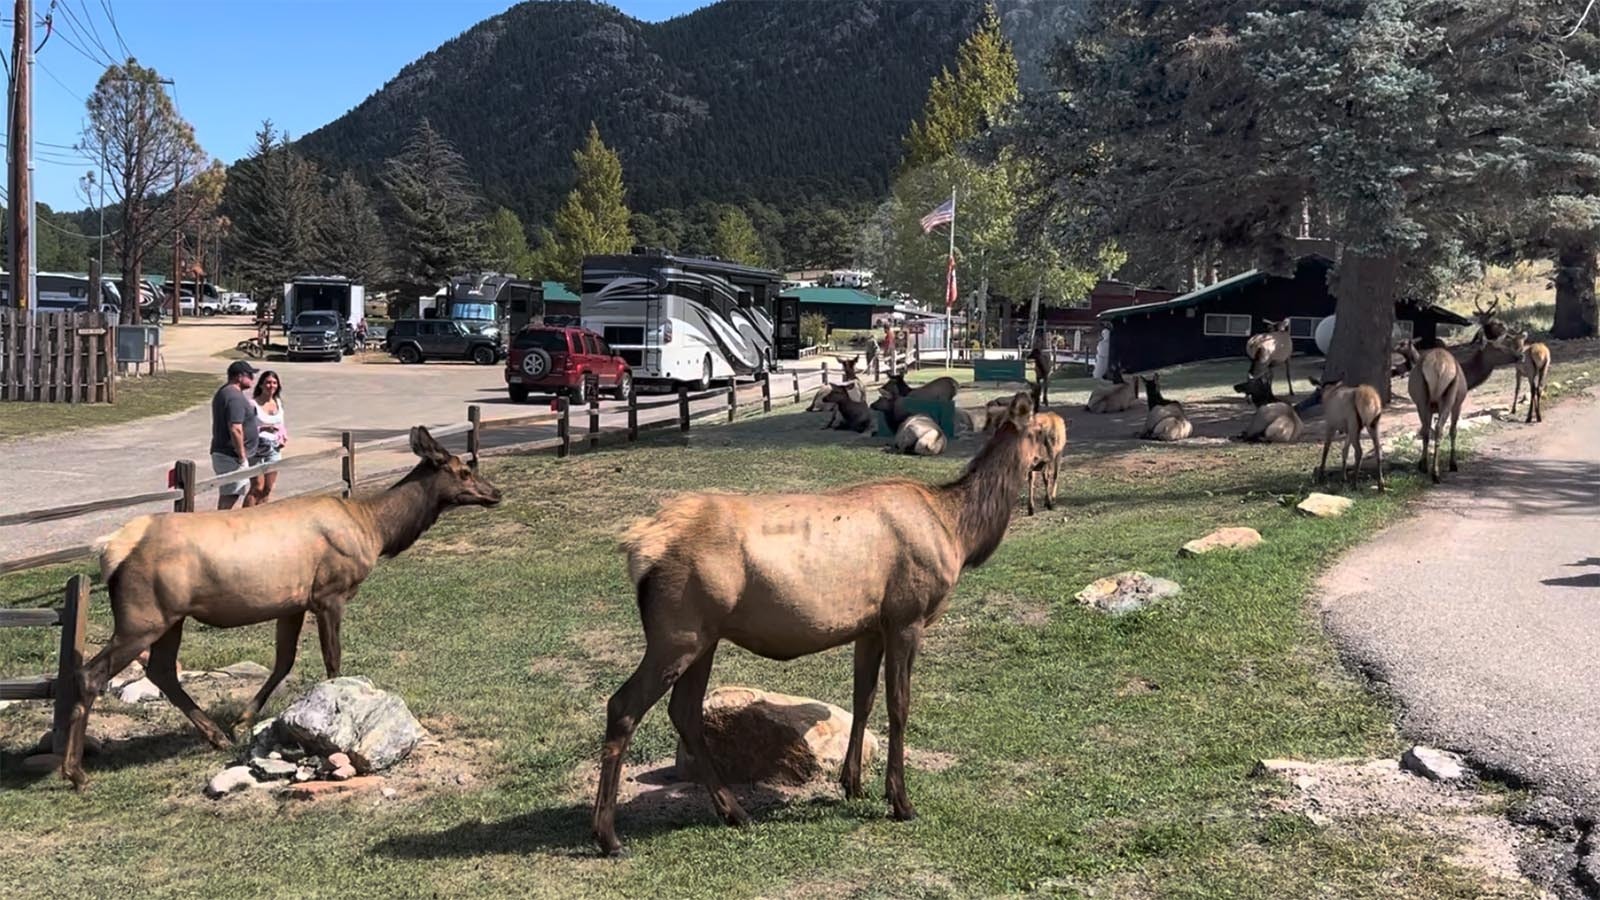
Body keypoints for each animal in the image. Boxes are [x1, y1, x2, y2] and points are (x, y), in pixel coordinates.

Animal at [59, 422, 499, 781]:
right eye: (463, 471)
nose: (495, 492)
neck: (375, 531)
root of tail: (110, 550)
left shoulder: (293, 603)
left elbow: (283, 661)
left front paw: (242, 720)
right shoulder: (329, 593)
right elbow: (332, 660)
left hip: (170, 617)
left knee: (162, 671)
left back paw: (215, 735)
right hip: (143, 615)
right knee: (93, 674)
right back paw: (74, 772)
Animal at [592, 395, 1049, 851]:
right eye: (1043, 431)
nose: (1045, 463)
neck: (958, 533)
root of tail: (637, 548)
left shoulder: (871, 626)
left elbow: (863, 698)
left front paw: (853, 784)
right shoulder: (907, 616)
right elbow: (899, 705)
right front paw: (900, 801)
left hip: (704, 637)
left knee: (684, 711)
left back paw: (734, 811)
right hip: (676, 632)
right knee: (623, 706)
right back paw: (608, 835)